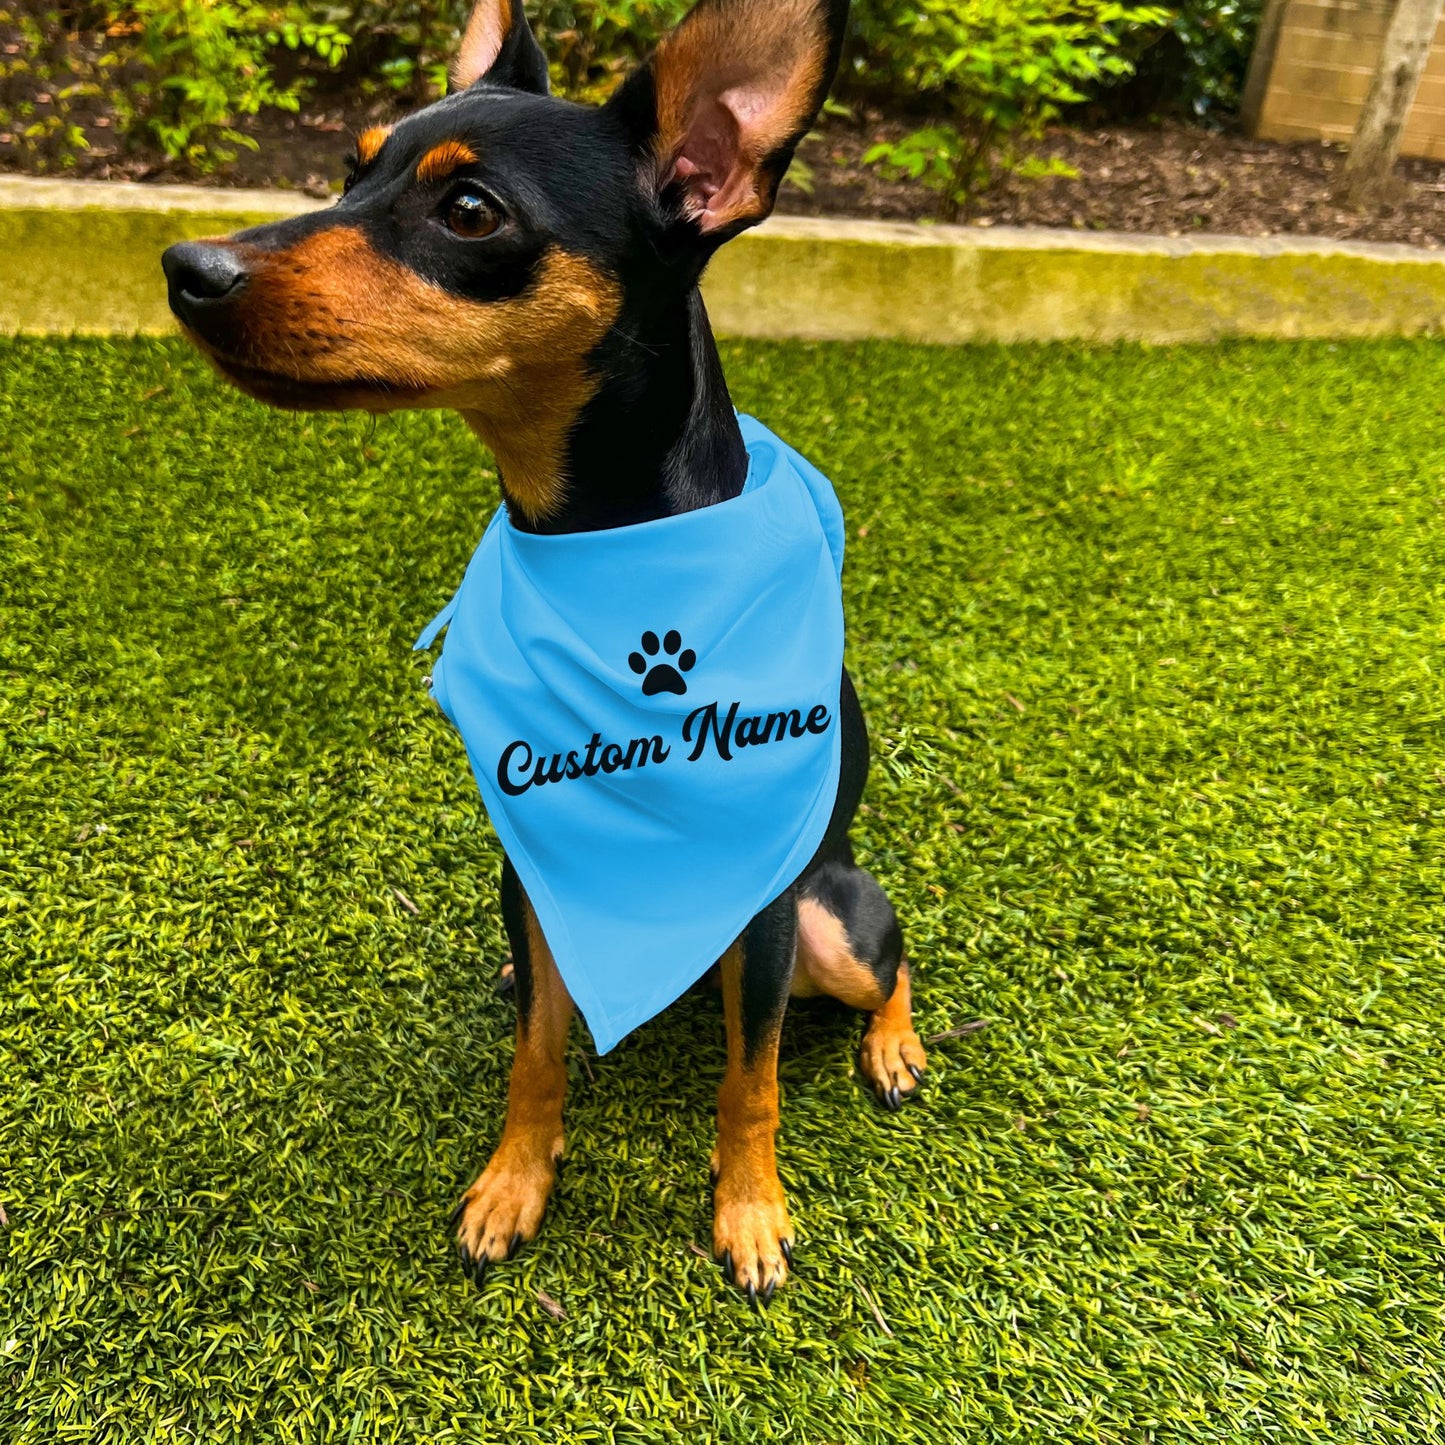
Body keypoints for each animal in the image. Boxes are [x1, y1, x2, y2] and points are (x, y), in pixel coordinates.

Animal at [158, 0, 924, 1306]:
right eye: (349, 170)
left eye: (471, 212)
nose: (186, 268)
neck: (595, 548)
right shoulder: (529, 854)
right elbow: (536, 1057)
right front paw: (514, 1180)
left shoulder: (766, 908)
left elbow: (752, 1080)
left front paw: (750, 1211)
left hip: (832, 918)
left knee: (892, 958)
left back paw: (895, 1045)